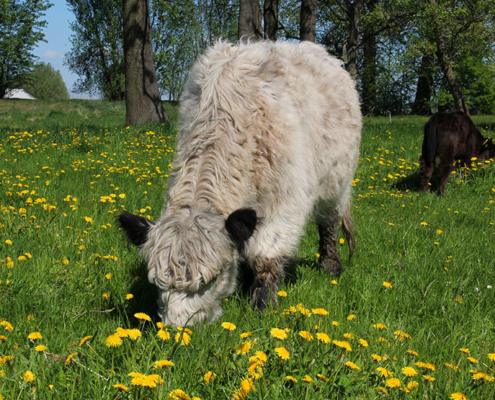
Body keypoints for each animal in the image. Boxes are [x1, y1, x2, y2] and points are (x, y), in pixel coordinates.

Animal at [118, 40, 362, 326]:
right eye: (157, 284)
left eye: (211, 279)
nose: (177, 330)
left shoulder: (286, 200)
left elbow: (267, 254)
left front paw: (262, 304)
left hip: (337, 181)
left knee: (329, 223)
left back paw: (330, 265)